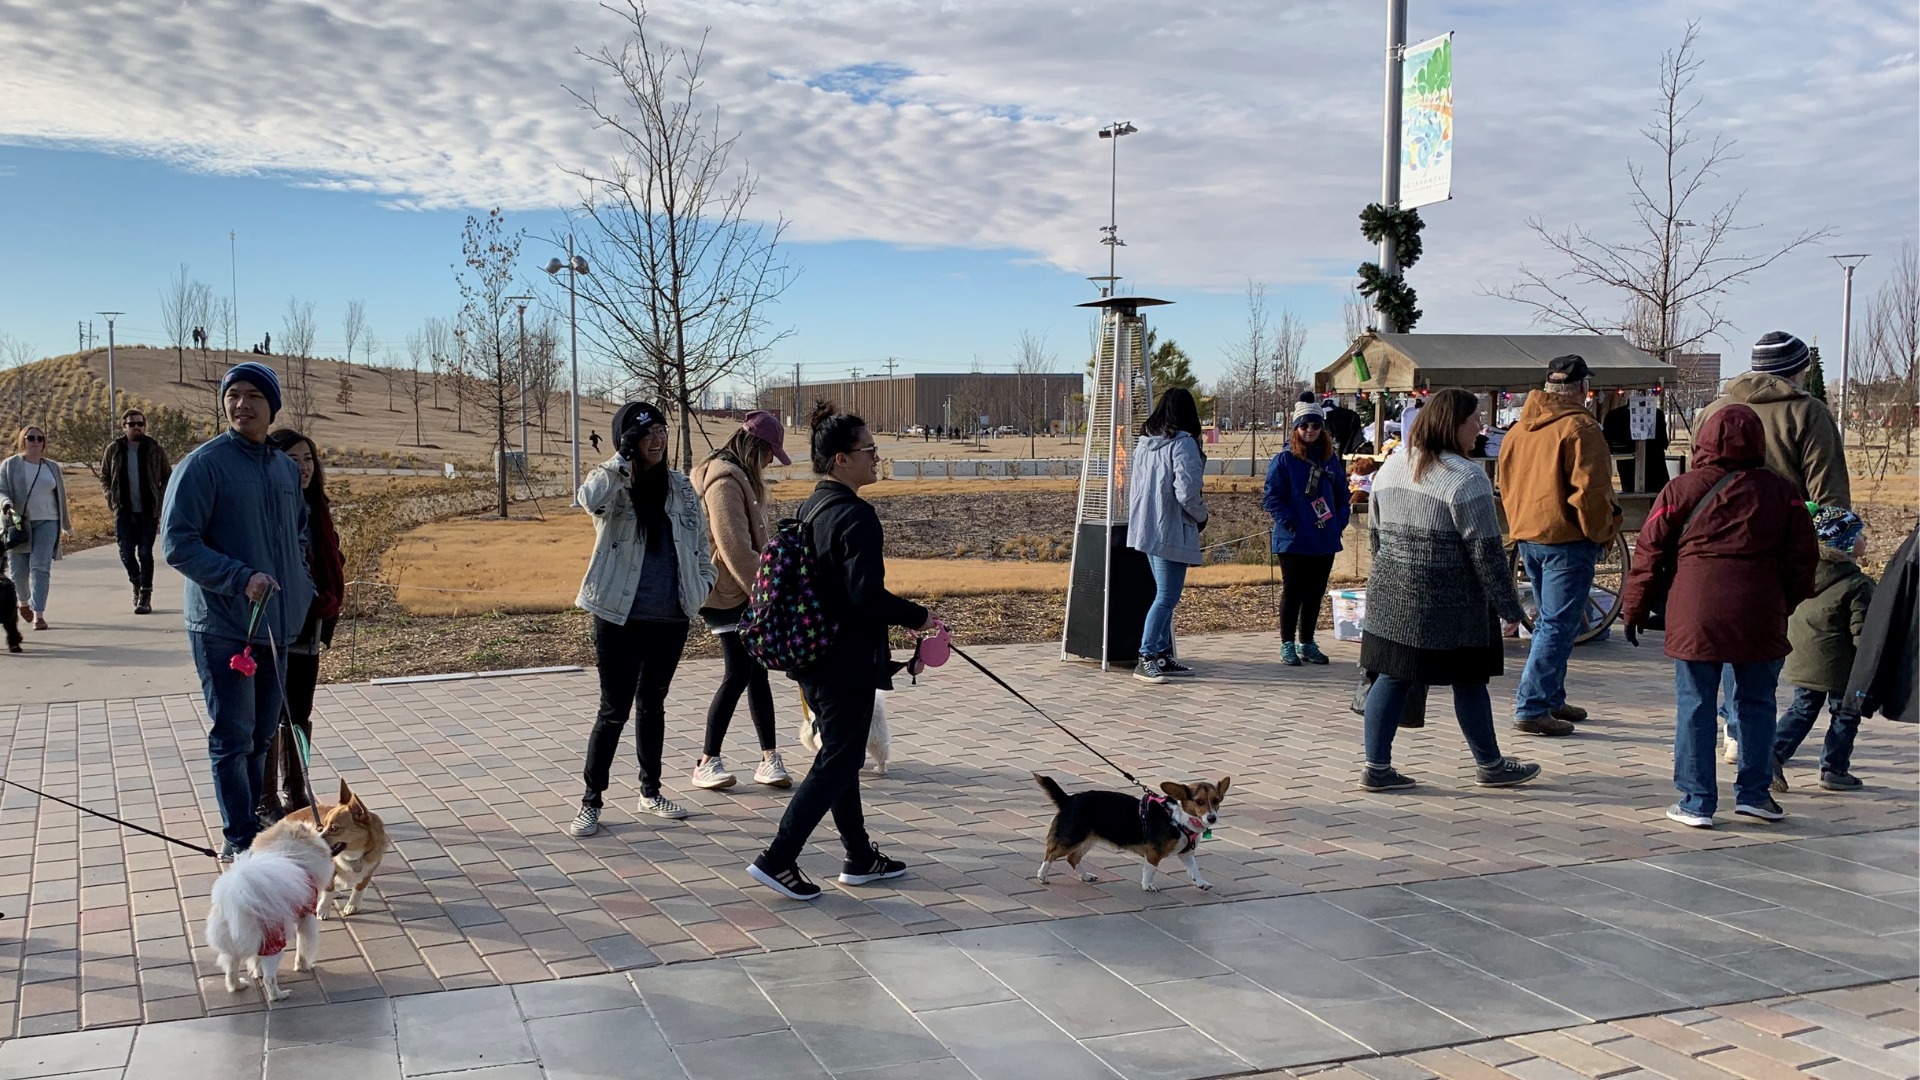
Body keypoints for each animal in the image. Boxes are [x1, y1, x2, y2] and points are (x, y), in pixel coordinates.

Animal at [204, 818, 337, 1001]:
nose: (321, 832)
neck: (290, 855)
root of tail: (239, 903)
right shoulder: (306, 916)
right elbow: (303, 947)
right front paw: (304, 966)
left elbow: (256, 960)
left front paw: (256, 971)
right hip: (274, 944)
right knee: (269, 978)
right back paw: (279, 995)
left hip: (233, 946)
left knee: (231, 970)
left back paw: (238, 986)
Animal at [284, 779, 389, 917]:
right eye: (323, 826)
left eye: (334, 828)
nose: (314, 840)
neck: (353, 856)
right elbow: (329, 890)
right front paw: (323, 909)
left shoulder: (369, 872)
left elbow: (359, 889)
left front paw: (353, 906)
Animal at [1033, 774, 1231, 891]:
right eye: (1199, 802)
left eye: (1216, 801)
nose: (1212, 818)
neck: (1179, 820)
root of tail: (1068, 799)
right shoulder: (1153, 853)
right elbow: (1150, 869)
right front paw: (1147, 885)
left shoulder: (1186, 853)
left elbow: (1194, 869)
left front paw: (1200, 882)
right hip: (1071, 838)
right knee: (1051, 854)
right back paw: (1042, 875)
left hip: (1088, 840)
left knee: (1072, 858)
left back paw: (1085, 876)